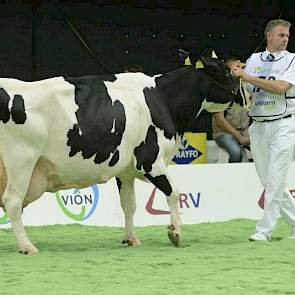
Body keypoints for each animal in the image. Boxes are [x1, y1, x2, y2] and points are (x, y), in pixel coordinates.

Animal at [0, 50, 243, 254]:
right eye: (226, 71)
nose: (243, 96)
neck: (163, 100)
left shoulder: (125, 170)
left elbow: (129, 205)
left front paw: (131, 238)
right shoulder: (150, 160)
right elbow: (174, 192)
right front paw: (175, 232)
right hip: (22, 159)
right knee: (12, 200)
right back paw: (27, 246)